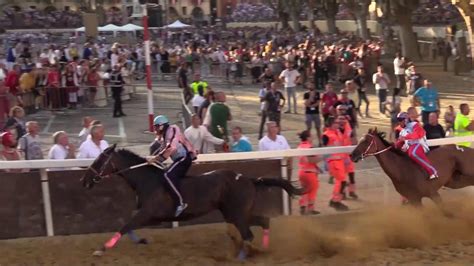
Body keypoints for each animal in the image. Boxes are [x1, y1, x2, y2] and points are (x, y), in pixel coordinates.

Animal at [81, 145, 304, 260]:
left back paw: (241, 257)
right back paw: (262, 249)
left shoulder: (149, 213)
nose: (84, 181)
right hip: (235, 213)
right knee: (263, 221)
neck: (147, 179)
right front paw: (141, 240)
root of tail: (249, 179)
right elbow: (128, 226)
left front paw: (101, 249)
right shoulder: (149, 215)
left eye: (99, 160)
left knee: (248, 234)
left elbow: (125, 225)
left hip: (237, 214)